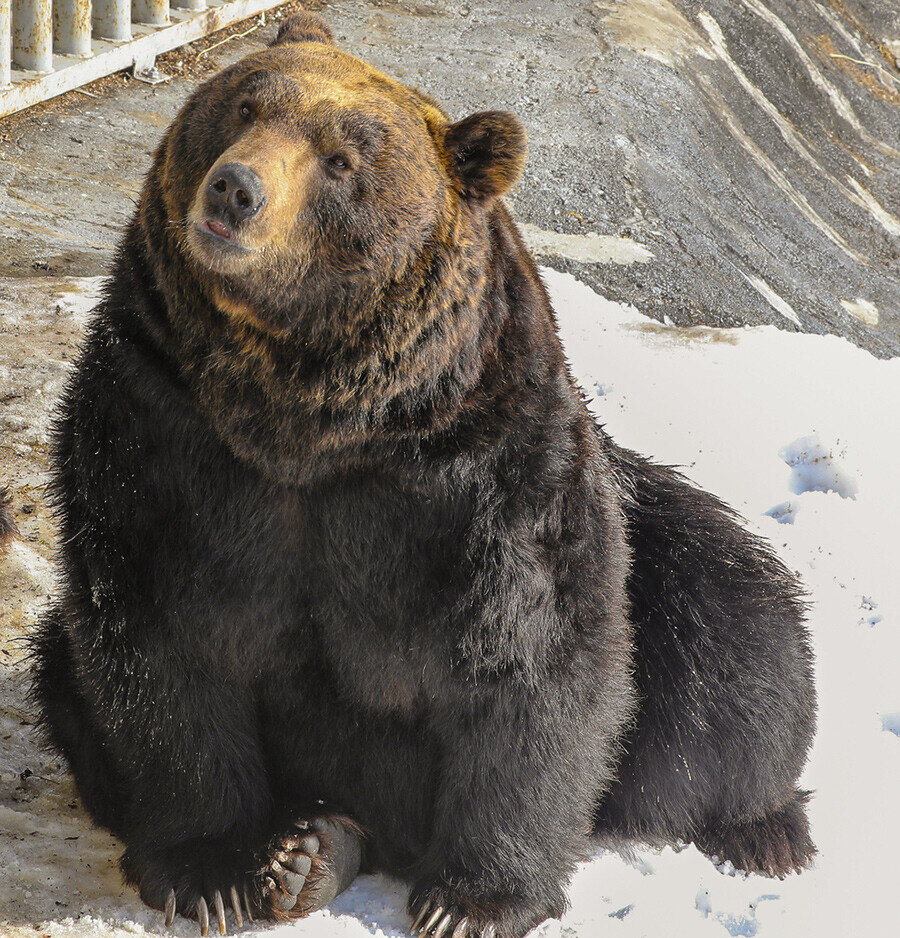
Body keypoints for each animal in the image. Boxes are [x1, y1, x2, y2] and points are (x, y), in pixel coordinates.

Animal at [29, 12, 816, 936]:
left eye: (342, 158)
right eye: (245, 105)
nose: (234, 190)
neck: (308, 412)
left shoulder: (484, 474)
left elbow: (533, 656)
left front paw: (472, 900)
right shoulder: (161, 427)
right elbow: (159, 636)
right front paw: (214, 869)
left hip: (660, 554)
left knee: (735, 631)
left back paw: (765, 827)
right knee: (62, 669)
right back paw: (311, 853)